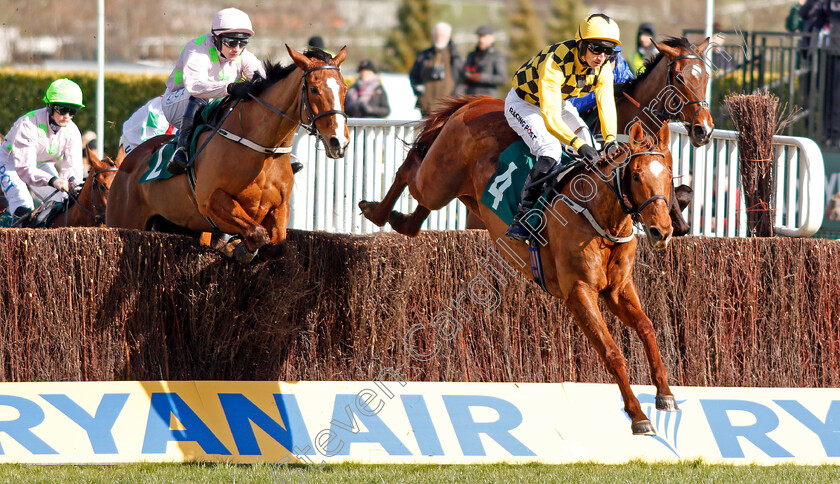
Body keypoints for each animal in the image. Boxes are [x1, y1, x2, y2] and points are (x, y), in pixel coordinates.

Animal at [106, 46, 350, 260]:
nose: (339, 141)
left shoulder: (280, 206)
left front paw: (241, 246)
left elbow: (276, 246)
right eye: (314, 89)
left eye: (344, 89)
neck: (263, 149)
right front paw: (241, 249)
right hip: (123, 219)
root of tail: (128, 161)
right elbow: (256, 233)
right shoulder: (210, 200)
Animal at [360, 97, 684, 434]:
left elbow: (647, 328)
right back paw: (374, 210)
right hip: (438, 180)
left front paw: (665, 394)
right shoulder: (579, 292)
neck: (600, 214)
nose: (662, 231)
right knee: (408, 172)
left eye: (669, 174)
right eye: (635, 176)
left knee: (417, 211)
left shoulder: (618, 288)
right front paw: (638, 415)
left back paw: (399, 220)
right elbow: (612, 352)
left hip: (464, 193)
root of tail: (478, 102)